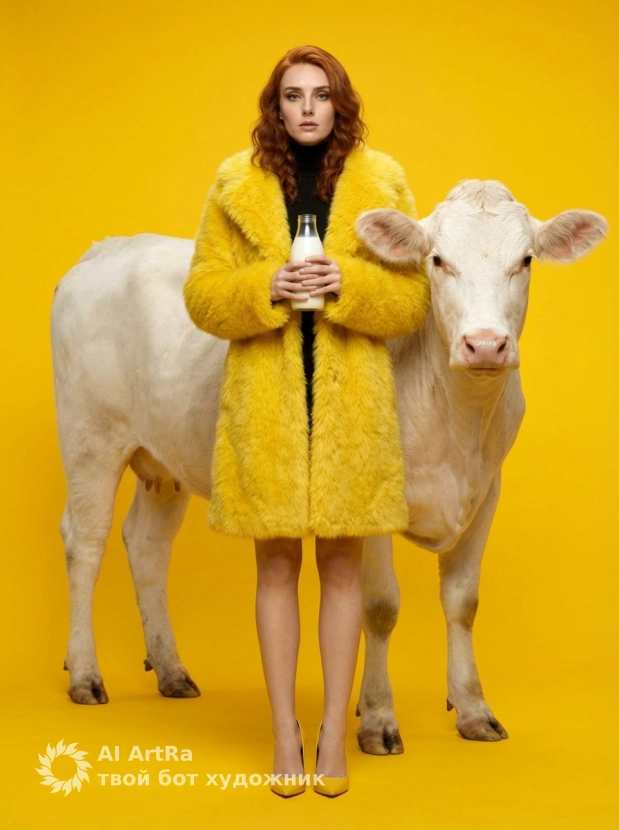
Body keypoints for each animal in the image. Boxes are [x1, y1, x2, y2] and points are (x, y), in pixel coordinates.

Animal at [51, 180, 607, 753]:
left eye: (526, 260)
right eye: (436, 260)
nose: (485, 345)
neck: (458, 424)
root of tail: (108, 248)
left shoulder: (486, 489)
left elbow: (462, 601)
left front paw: (473, 709)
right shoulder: (372, 496)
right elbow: (380, 605)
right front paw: (379, 719)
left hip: (165, 456)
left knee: (146, 545)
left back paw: (171, 670)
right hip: (89, 435)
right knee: (84, 543)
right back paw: (85, 674)